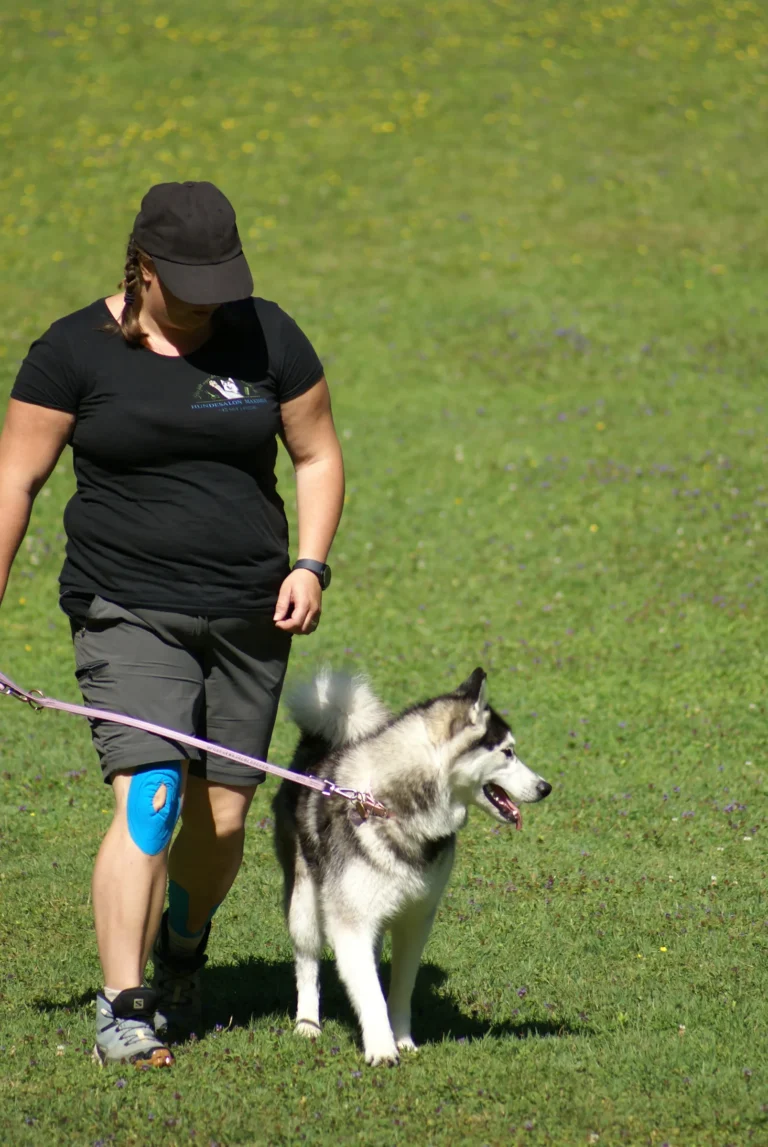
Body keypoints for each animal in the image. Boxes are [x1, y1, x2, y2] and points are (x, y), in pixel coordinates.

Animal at [273, 665, 550, 1064]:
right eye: (508, 752)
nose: (546, 787)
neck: (395, 808)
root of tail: (317, 743)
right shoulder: (351, 921)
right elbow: (370, 991)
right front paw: (382, 1050)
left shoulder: (416, 918)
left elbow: (399, 988)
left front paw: (402, 1039)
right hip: (305, 904)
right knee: (308, 962)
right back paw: (308, 1024)